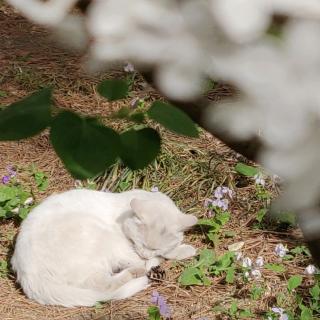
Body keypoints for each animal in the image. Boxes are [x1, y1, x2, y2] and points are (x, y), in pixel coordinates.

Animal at [11, 189, 198, 306]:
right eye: (141, 243)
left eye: (155, 248)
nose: (145, 254)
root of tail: (30, 278)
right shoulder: (127, 247)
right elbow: (146, 259)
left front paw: (181, 250)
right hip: (99, 236)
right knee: (103, 284)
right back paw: (137, 273)